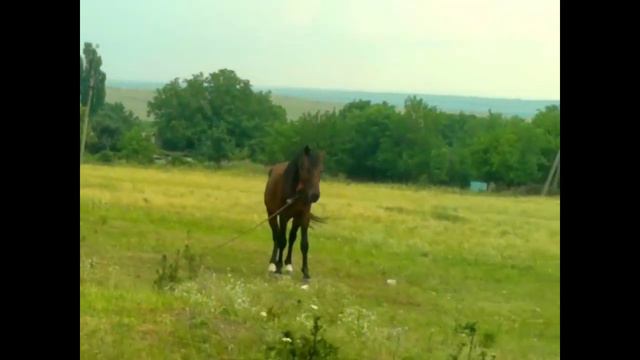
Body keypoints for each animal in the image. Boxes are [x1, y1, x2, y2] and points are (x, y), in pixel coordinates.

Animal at [264, 145, 324, 280]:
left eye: (321, 170)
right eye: (306, 169)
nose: (315, 195)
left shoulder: (304, 216)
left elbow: (304, 244)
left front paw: (306, 272)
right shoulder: (283, 216)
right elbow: (282, 240)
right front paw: (278, 267)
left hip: (295, 219)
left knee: (291, 238)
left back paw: (288, 264)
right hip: (272, 214)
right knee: (276, 236)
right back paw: (273, 263)